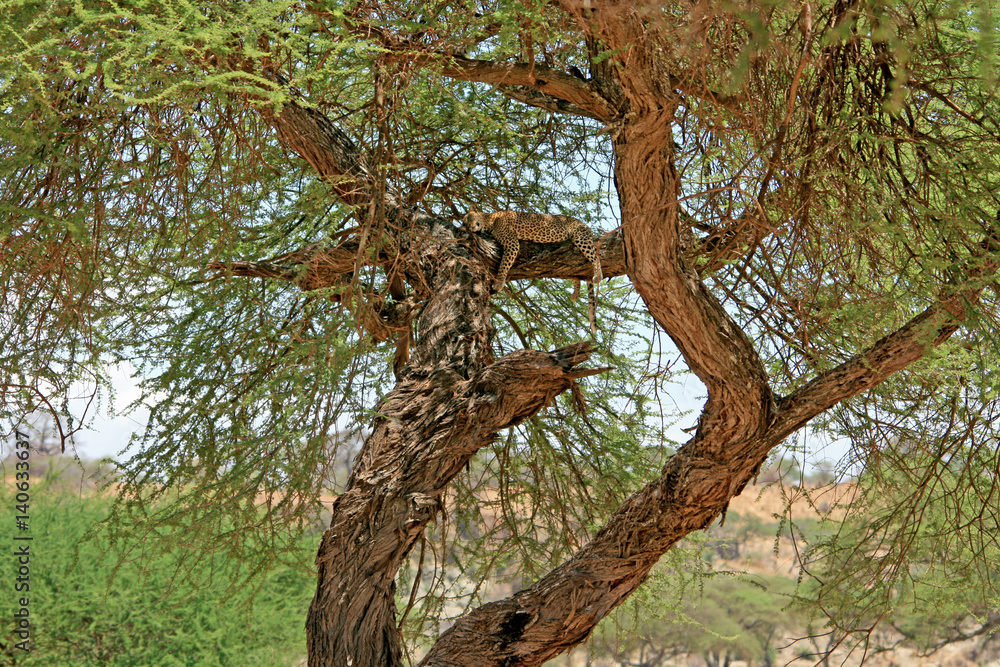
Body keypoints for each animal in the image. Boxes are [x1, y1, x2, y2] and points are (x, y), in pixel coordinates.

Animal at [462, 210, 603, 332]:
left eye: (468, 219)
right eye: (464, 223)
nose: (467, 227)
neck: (489, 219)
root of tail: (586, 225)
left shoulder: (512, 243)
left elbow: (504, 265)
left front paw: (499, 283)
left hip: (581, 238)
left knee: (595, 255)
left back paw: (598, 276)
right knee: (574, 273)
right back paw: (575, 294)